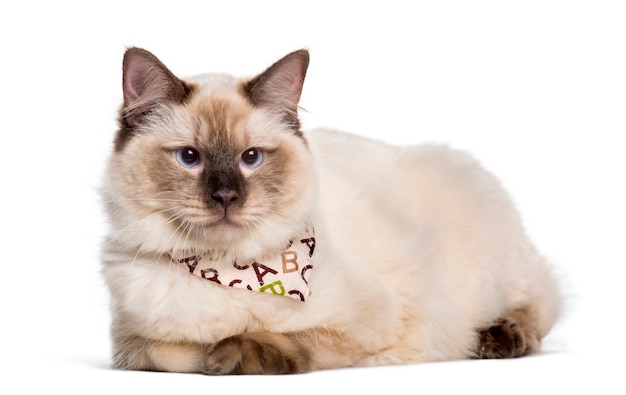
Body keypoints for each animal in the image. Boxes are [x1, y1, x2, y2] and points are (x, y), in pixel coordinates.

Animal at [102, 46, 560, 374]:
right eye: (189, 157)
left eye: (251, 158)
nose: (226, 196)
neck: (225, 268)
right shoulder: (131, 343)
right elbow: (172, 353)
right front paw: (214, 356)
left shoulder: (374, 325)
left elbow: (285, 339)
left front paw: (236, 355)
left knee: (541, 306)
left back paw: (501, 339)